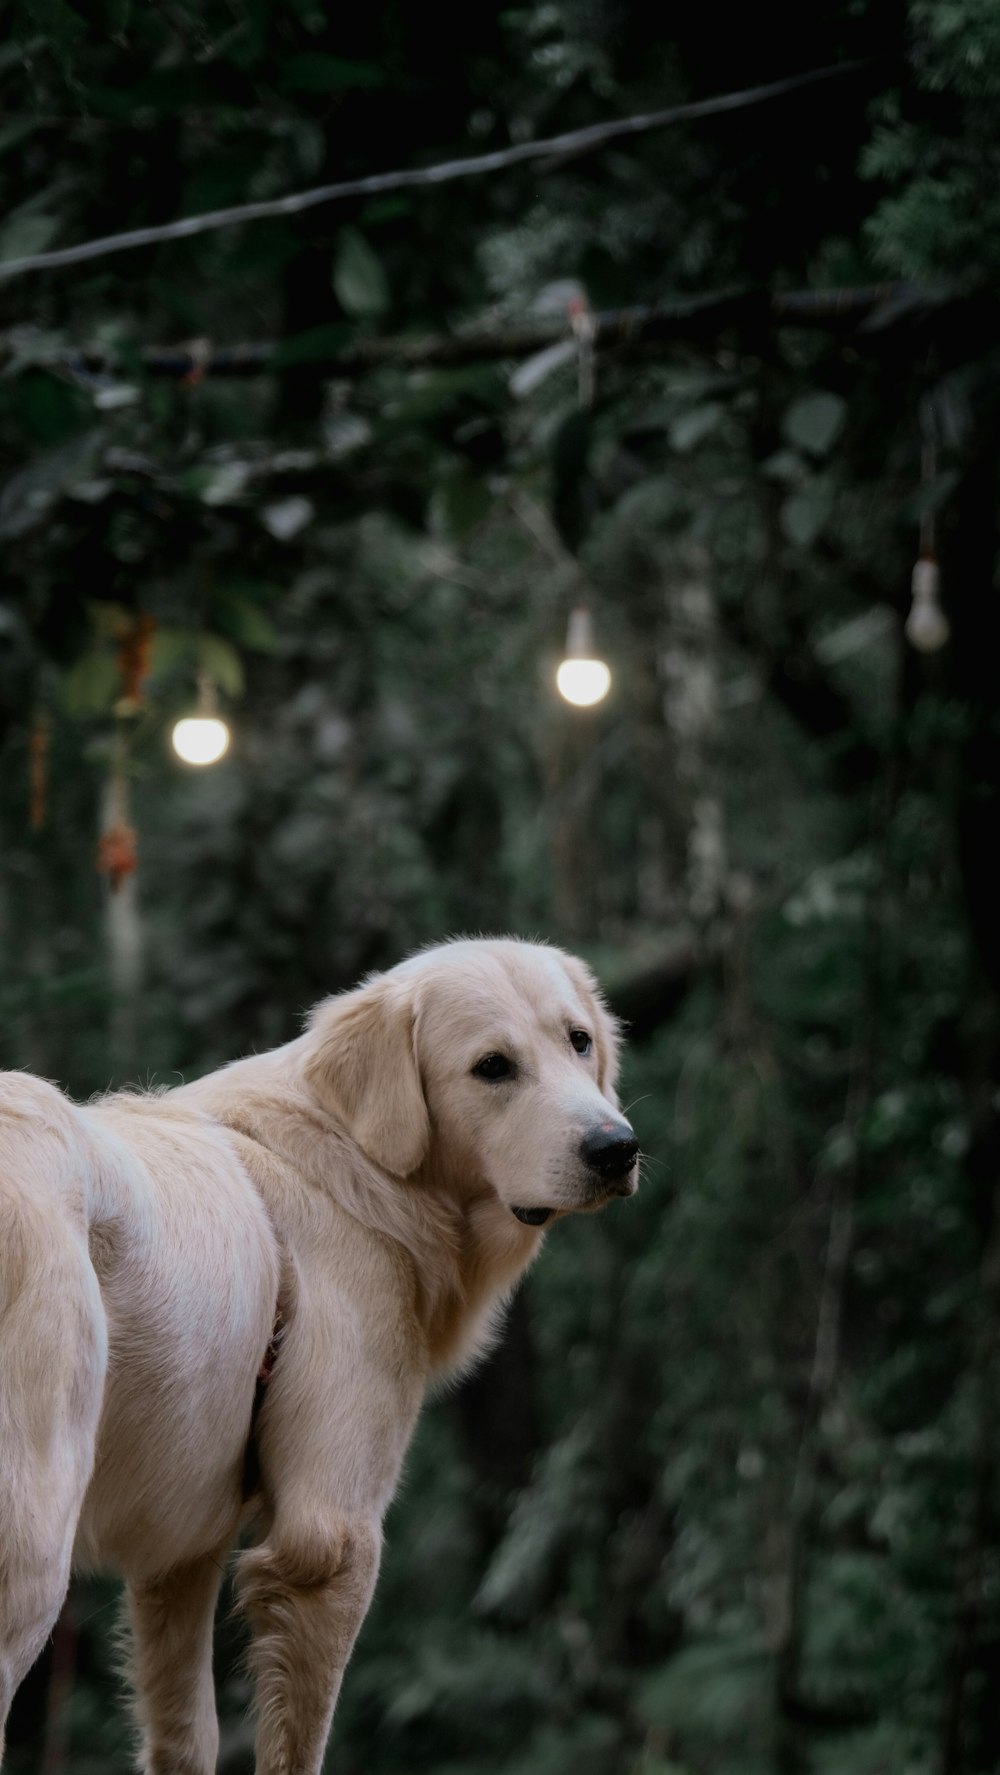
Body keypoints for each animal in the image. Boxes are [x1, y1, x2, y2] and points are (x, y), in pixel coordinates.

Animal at [0, 937, 639, 1767]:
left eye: (579, 1040)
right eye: (493, 1066)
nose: (616, 1148)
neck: (361, 1165)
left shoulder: (183, 1552)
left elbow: (187, 1732)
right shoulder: (330, 1540)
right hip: (33, 1547)